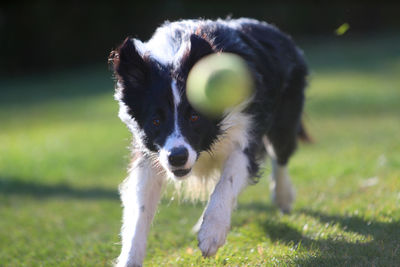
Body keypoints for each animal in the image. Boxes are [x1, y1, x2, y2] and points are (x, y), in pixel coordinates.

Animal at [109, 17, 310, 266]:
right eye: (155, 121)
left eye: (194, 116)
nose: (177, 158)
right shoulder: (151, 154)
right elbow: (140, 208)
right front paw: (130, 258)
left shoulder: (245, 133)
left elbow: (227, 181)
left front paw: (212, 233)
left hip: (285, 120)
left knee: (280, 156)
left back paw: (282, 197)